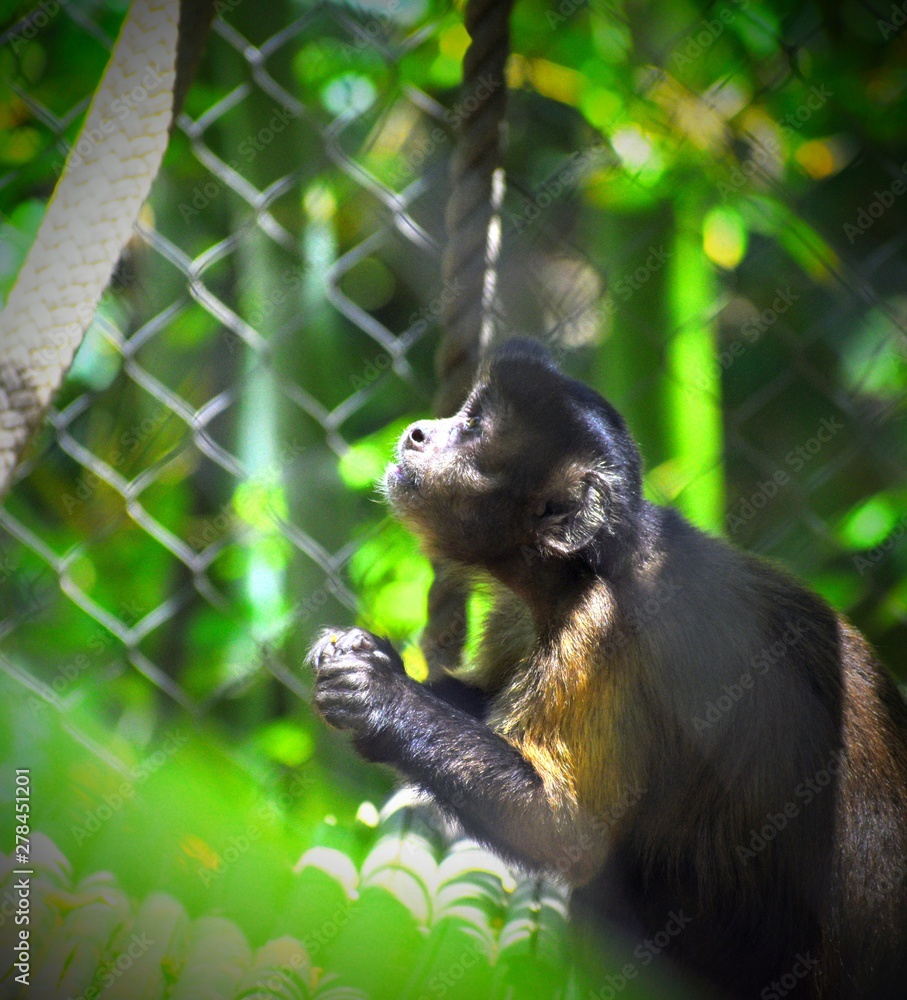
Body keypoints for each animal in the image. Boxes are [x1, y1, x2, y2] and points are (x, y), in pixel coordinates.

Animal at [308, 338, 907, 999]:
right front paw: (369, 655)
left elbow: (565, 832)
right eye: (463, 415)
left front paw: (376, 696)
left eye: (473, 429)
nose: (419, 432)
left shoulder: (602, 629)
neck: (577, 570)